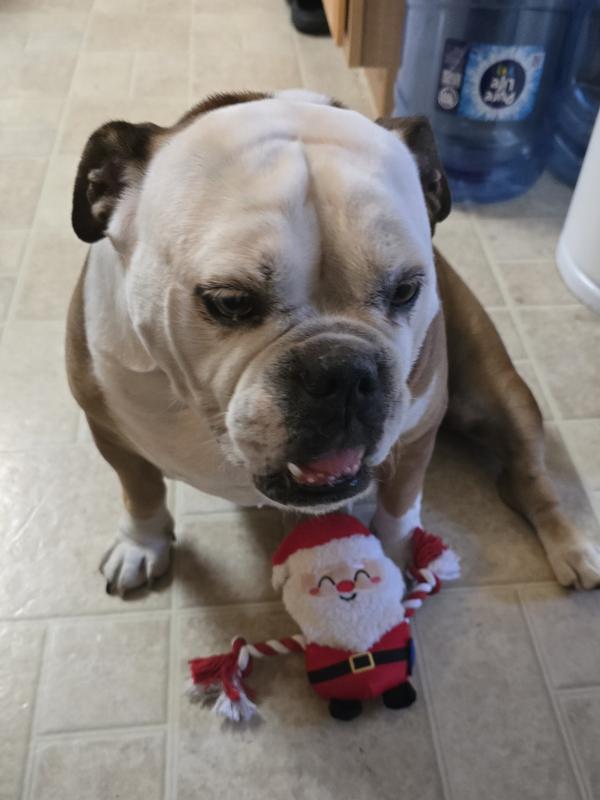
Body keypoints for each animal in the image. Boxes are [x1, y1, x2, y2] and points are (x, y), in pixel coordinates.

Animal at [66, 90, 600, 595]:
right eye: (230, 301)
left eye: (406, 290)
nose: (344, 371)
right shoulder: (110, 430)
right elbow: (140, 490)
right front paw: (142, 543)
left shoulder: (418, 431)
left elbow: (401, 503)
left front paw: (401, 553)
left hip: (502, 396)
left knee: (528, 478)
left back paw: (573, 548)